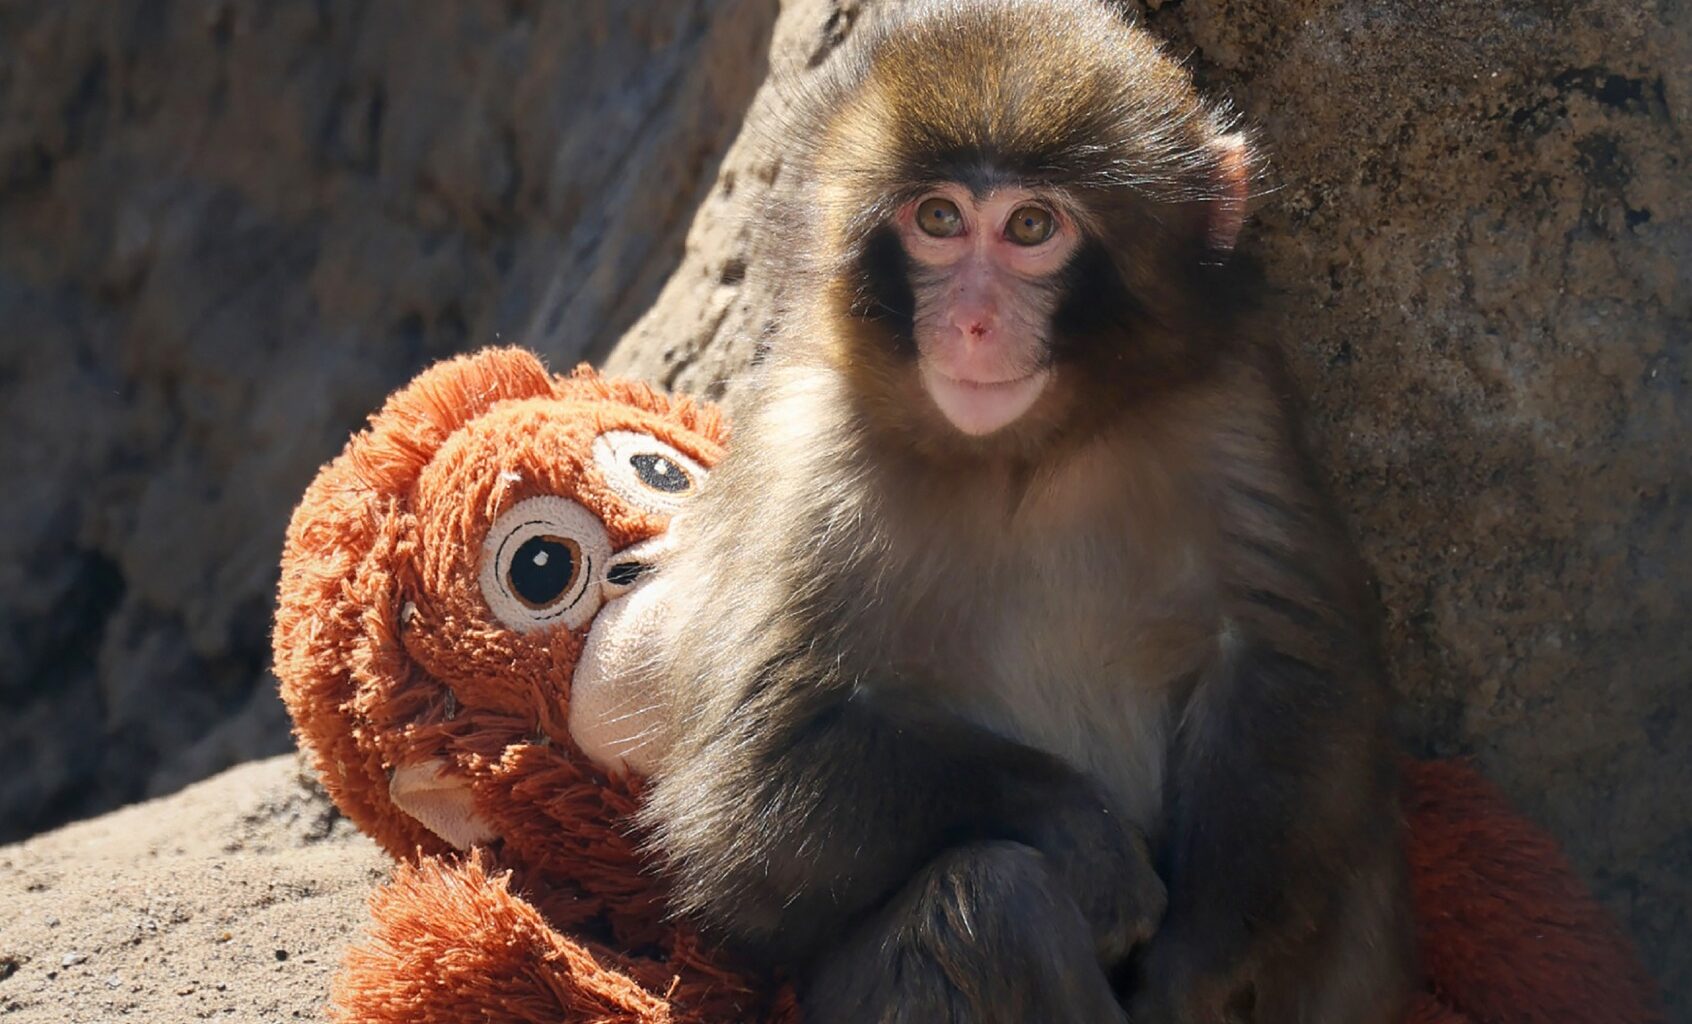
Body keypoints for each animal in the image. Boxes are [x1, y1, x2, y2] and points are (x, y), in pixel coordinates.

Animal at [638, 1, 1416, 1021]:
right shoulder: (807, 459)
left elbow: (1286, 664)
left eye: (1031, 226)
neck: (1023, 455)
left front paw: (1193, 970)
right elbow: (748, 790)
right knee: (987, 898)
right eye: (938, 219)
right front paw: (1081, 833)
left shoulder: (1229, 399)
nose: (972, 322)